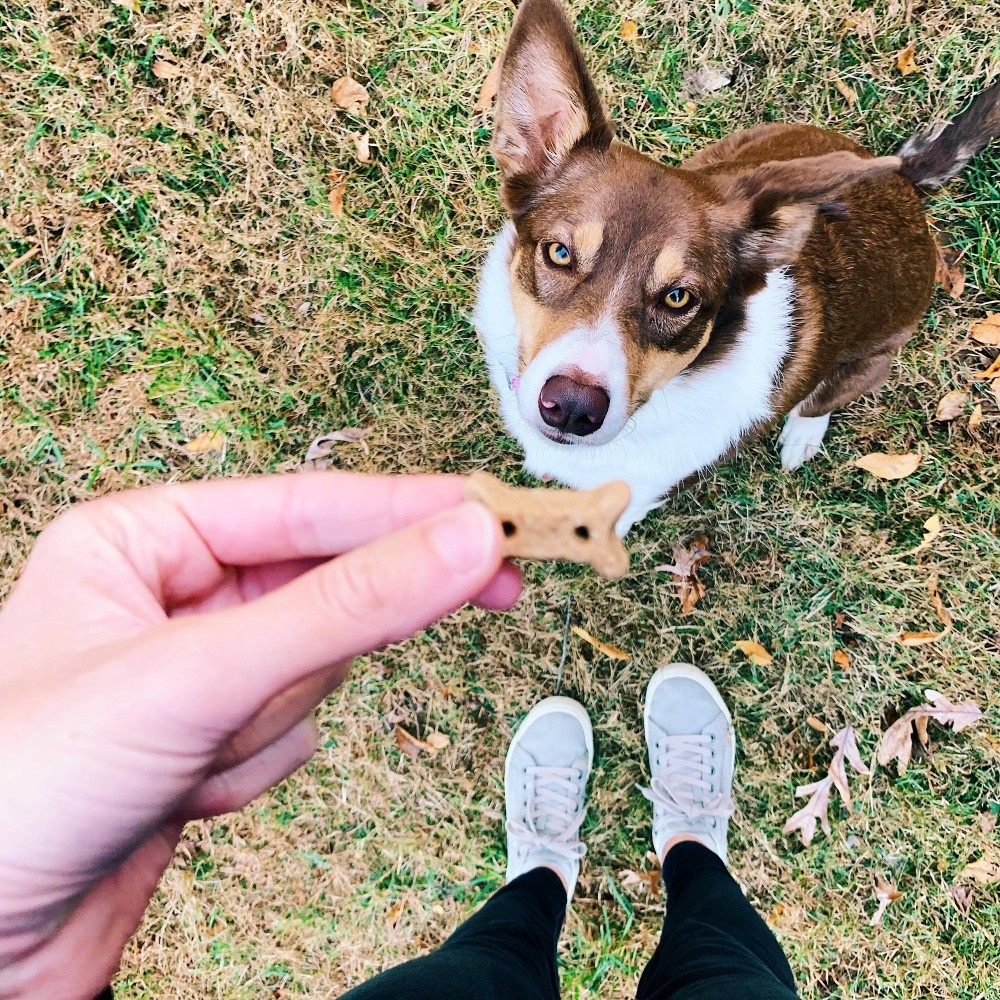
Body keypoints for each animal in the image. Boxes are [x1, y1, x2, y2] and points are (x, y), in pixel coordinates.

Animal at [478, 0, 1000, 536]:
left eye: (679, 297)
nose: (572, 408)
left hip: (872, 359)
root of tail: (904, 180)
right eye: (559, 253)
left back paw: (803, 432)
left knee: (821, 398)